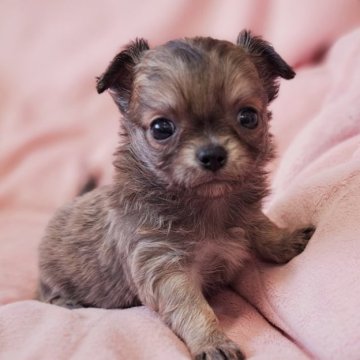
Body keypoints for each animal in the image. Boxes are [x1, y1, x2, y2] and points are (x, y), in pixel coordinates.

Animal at [37, 31, 312, 360]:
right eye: (161, 128)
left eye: (248, 117)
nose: (212, 155)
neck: (207, 204)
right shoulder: (163, 265)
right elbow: (192, 308)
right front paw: (212, 341)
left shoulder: (245, 216)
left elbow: (261, 226)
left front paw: (287, 239)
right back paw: (68, 303)